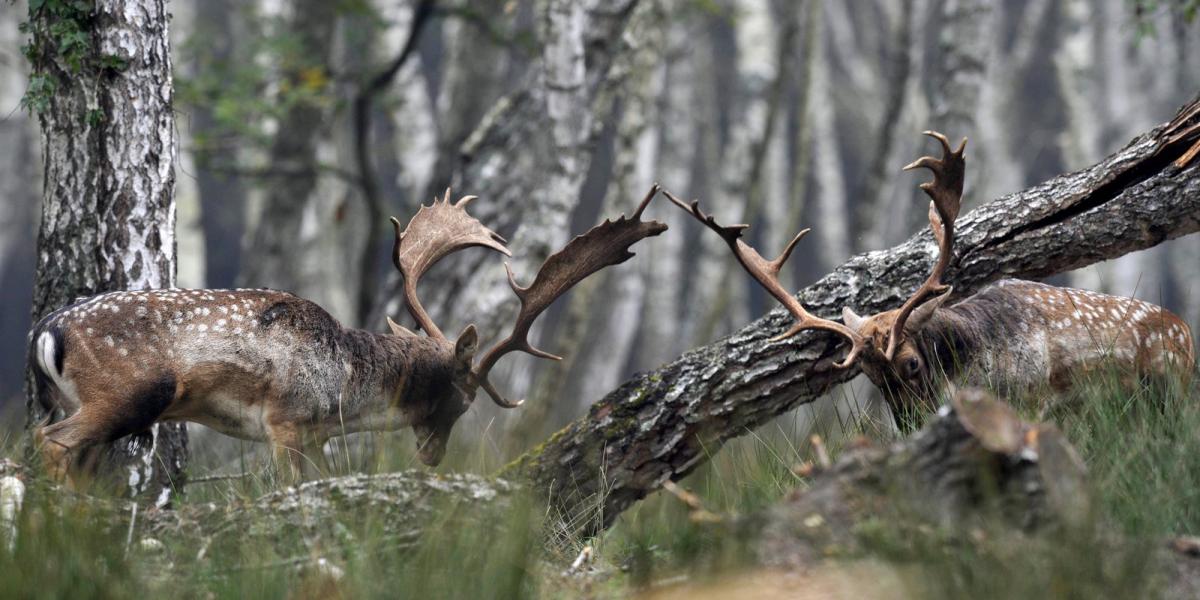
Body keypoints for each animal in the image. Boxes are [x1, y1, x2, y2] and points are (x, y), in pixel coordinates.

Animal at [28, 187, 672, 482]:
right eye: (462, 401)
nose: (433, 457)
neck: (343, 389)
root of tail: (45, 331)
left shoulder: (314, 434)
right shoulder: (286, 420)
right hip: (129, 391)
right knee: (52, 441)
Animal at [667, 133, 1190, 429]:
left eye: (914, 364)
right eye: (869, 376)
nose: (911, 427)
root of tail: (1186, 332)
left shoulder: (1041, 400)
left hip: (1172, 388)